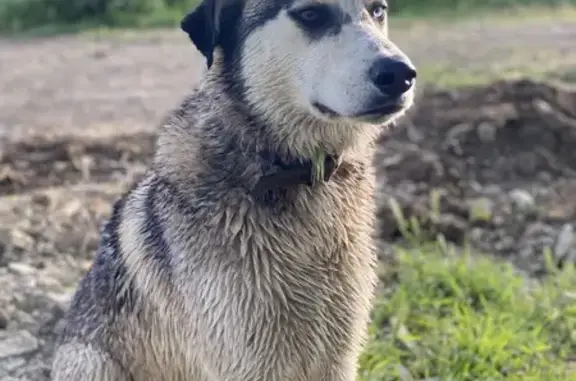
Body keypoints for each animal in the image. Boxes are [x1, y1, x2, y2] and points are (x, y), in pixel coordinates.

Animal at [51, 0, 416, 378]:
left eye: (378, 10)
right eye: (311, 14)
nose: (401, 74)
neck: (286, 171)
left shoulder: (338, 355)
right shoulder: (247, 359)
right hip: (91, 362)